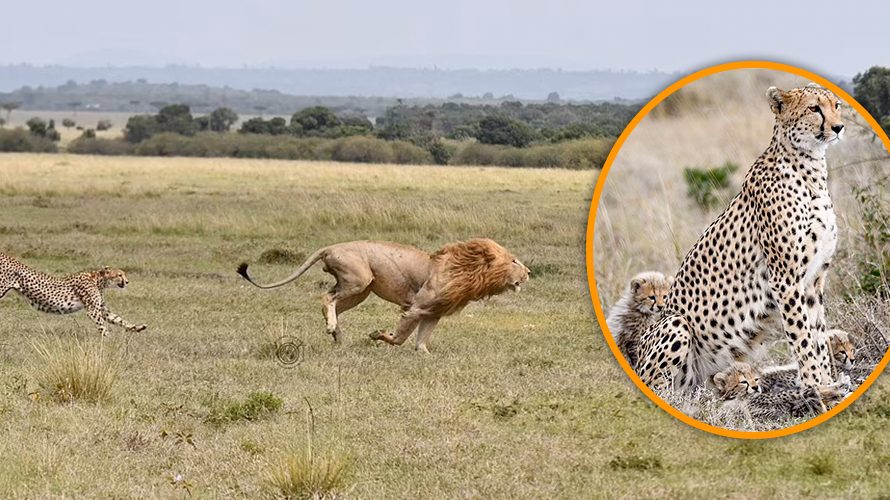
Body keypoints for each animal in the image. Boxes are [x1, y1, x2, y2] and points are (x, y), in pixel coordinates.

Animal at [0, 254, 146, 336]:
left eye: (124, 274)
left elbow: (119, 319)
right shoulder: (93, 311)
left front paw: (137, 327)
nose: (127, 281)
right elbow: (102, 325)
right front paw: (107, 339)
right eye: (119, 275)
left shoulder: (102, 309)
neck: (98, 280)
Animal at [236, 238, 528, 352]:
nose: (529, 272)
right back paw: (332, 328)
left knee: (331, 302)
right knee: (327, 299)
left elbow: (421, 342)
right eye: (514, 260)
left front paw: (425, 354)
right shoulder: (417, 307)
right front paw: (378, 335)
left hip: (361, 290)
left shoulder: (433, 313)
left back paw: (337, 336)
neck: (468, 271)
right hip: (360, 280)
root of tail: (330, 247)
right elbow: (399, 337)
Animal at [636, 83, 844, 394]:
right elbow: (802, 337)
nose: (839, 127)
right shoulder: (785, 279)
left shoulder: (815, 279)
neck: (810, 169)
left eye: (837, 106)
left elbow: (817, 334)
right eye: (814, 108)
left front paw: (828, 382)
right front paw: (815, 385)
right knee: (660, 385)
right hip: (676, 324)